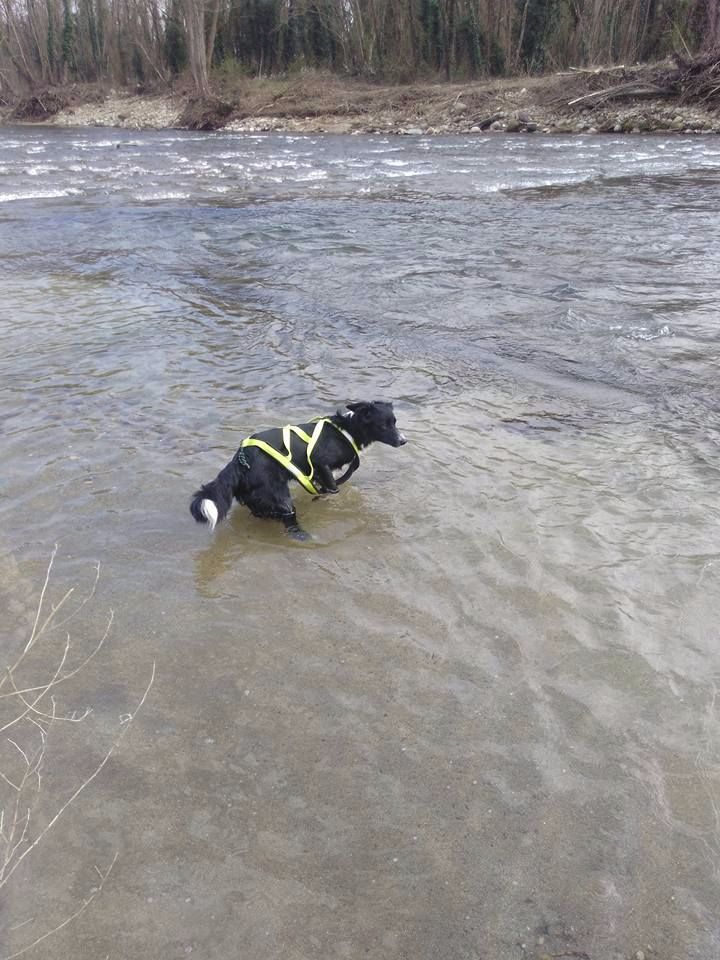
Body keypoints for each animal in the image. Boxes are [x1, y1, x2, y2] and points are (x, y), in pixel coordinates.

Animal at [190, 400, 404, 540]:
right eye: (384, 425)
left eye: (395, 422)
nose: (404, 441)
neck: (348, 430)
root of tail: (240, 460)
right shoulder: (321, 461)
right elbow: (333, 487)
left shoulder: (318, 472)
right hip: (280, 497)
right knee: (288, 518)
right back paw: (302, 535)